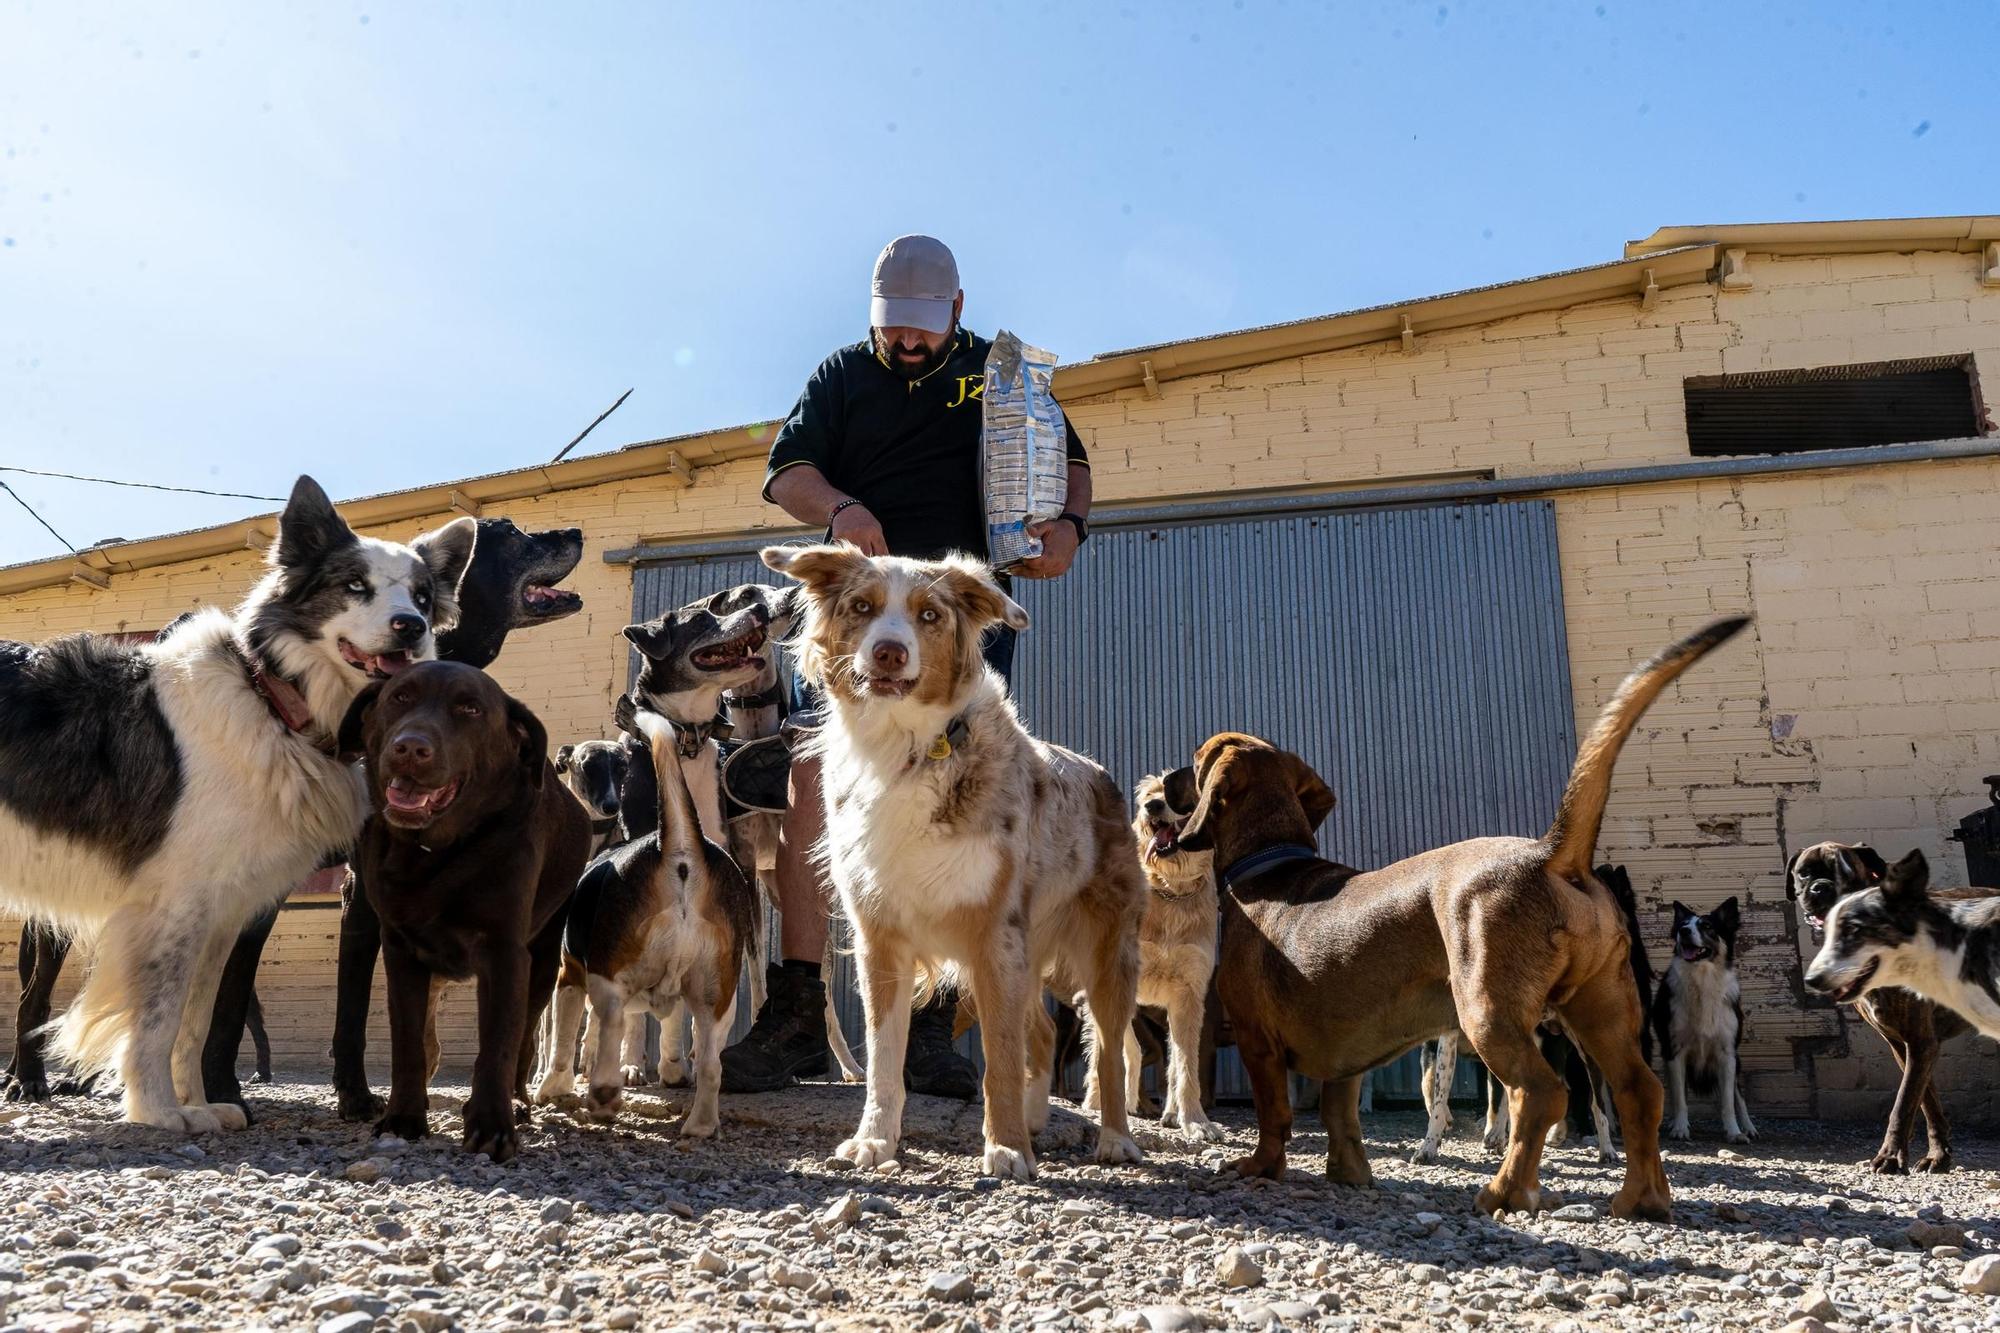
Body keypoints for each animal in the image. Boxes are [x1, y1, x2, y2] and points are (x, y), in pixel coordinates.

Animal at [760, 540, 1152, 1176]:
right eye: (862, 607)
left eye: (929, 616)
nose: (889, 652)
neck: (909, 748)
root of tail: (1101, 775)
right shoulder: (882, 937)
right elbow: (885, 1058)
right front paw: (875, 1141)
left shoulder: (994, 934)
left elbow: (999, 1056)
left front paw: (1006, 1149)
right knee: (1044, 1033)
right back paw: (1038, 1120)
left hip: (1105, 951)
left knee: (1110, 1049)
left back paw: (1115, 1138)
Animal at [1168, 612, 1744, 1216]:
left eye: (1196, 763)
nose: (1162, 782)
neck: (1271, 861)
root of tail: (1551, 855)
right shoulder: (1345, 1057)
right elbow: (1340, 1118)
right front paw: (1350, 1178)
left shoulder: (1256, 1040)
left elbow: (1274, 1115)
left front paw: (1261, 1168)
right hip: (1602, 1015)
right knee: (1640, 1092)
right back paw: (1642, 1197)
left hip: (1489, 1014)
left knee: (1541, 1095)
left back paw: (1505, 1191)